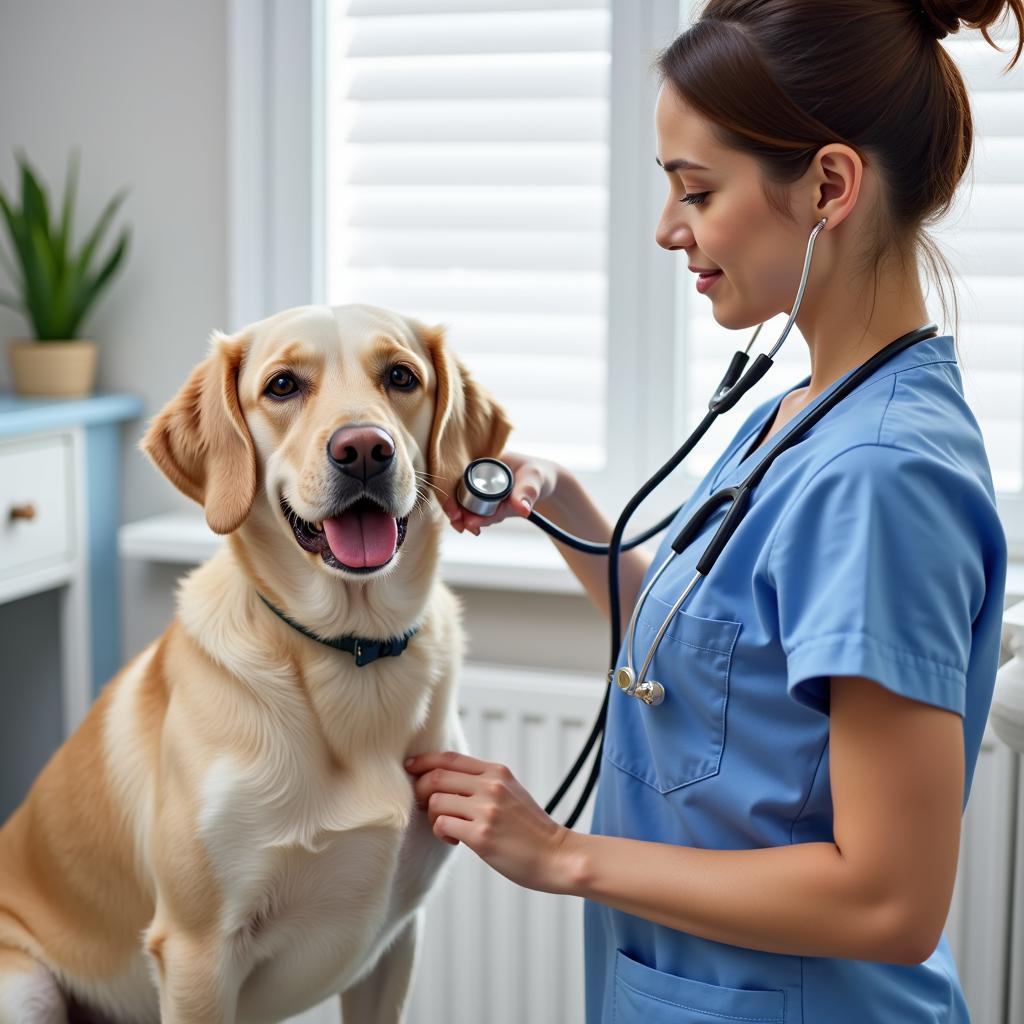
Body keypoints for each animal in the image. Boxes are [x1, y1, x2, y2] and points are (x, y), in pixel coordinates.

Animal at [0, 303, 512, 1024]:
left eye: (401, 376)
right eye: (282, 386)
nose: (364, 449)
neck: (351, 652)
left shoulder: (394, 946)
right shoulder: (197, 951)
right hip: (26, 985)